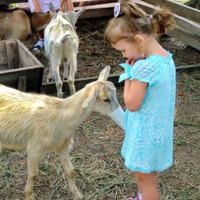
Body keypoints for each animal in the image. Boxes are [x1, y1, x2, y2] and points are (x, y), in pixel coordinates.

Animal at [0, 66, 119, 200]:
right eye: (106, 99)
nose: (119, 111)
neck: (62, 116)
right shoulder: (35, 148)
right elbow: (33, 174)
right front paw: (29, 195)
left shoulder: (63, 146)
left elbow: (70, 171)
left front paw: (76, 194)